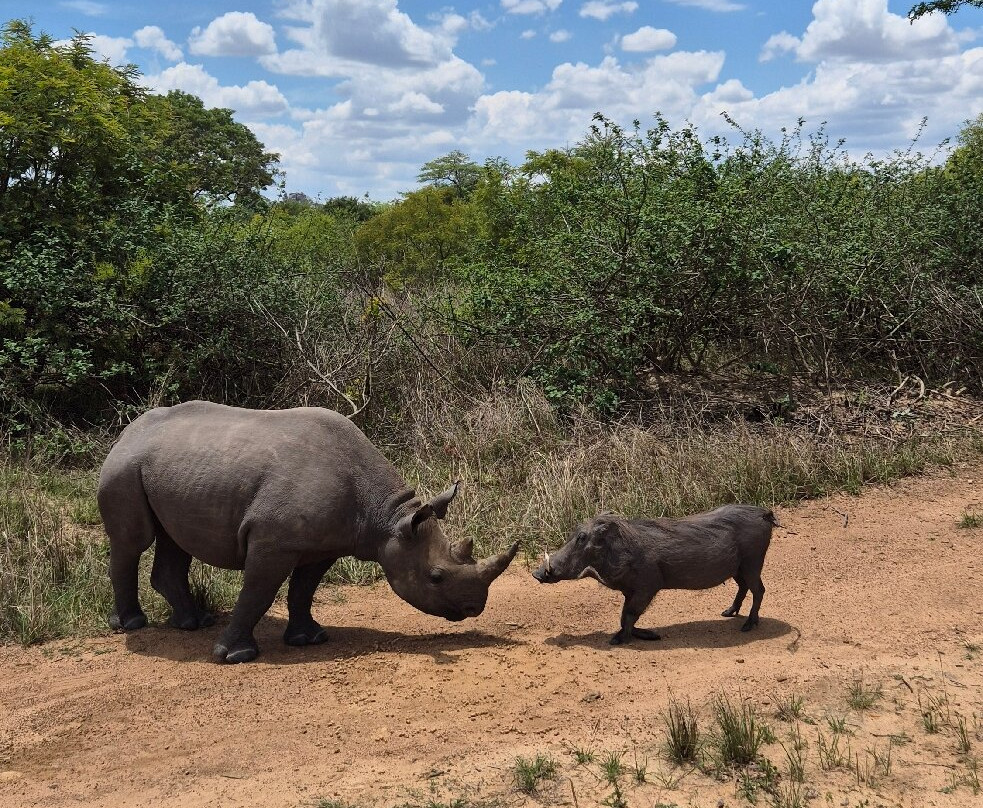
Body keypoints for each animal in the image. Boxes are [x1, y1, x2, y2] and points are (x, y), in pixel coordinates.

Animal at [98, 401, 519, 663]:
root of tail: (127, 431)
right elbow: (258, 592)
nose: (474, 608)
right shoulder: (271, 540)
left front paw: (309, 639)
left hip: (173, 470)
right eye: (435, 577)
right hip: (124, 467)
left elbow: (304, 590)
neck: (386, 517)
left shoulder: (324, 545)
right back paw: (133, 625)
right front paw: (235, 656)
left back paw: (192, 623)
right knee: (133, 540)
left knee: (174, 540)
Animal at [532, 505, 775, 645]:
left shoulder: (647, 587)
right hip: (738, 568)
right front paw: (643, 635)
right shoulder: (630, 590)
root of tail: (764, 513)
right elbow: (624, 616)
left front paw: (619, 640)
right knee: (744, 588)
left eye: (582, 538)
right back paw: (728, 613)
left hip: (752, 563)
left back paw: (749, 625)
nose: (536, 573)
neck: (620, 548)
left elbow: (630, 614)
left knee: (759, 590)